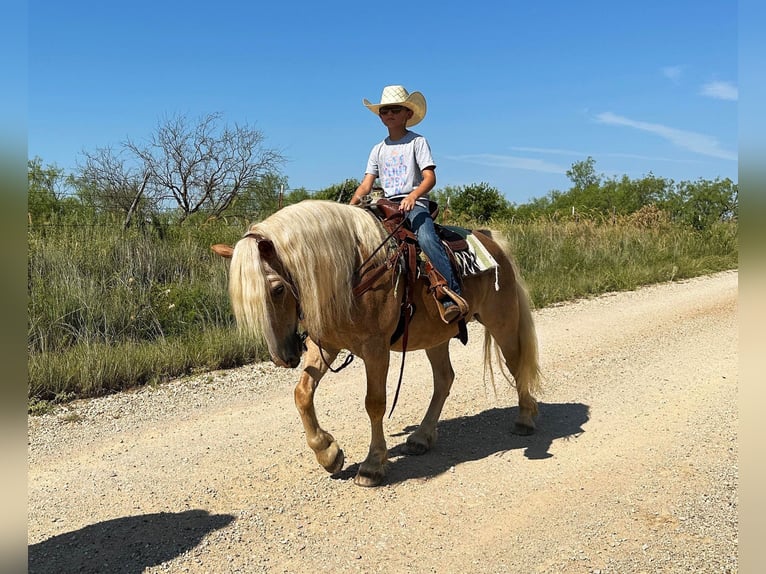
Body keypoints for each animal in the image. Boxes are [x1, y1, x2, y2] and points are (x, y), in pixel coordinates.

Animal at [213, 200, 544, 488]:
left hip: (501, 321)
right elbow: (302, 394)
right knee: (444, 379)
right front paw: (328, 453)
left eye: (278, 289)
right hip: (435, 337)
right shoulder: (326, 345)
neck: (352, 271)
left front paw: (372, 466)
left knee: (516, 364)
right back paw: (421, 437)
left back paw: (525, 419)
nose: (283, 357)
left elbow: (374, 403)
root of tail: (491, 241)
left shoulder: (375, 350)